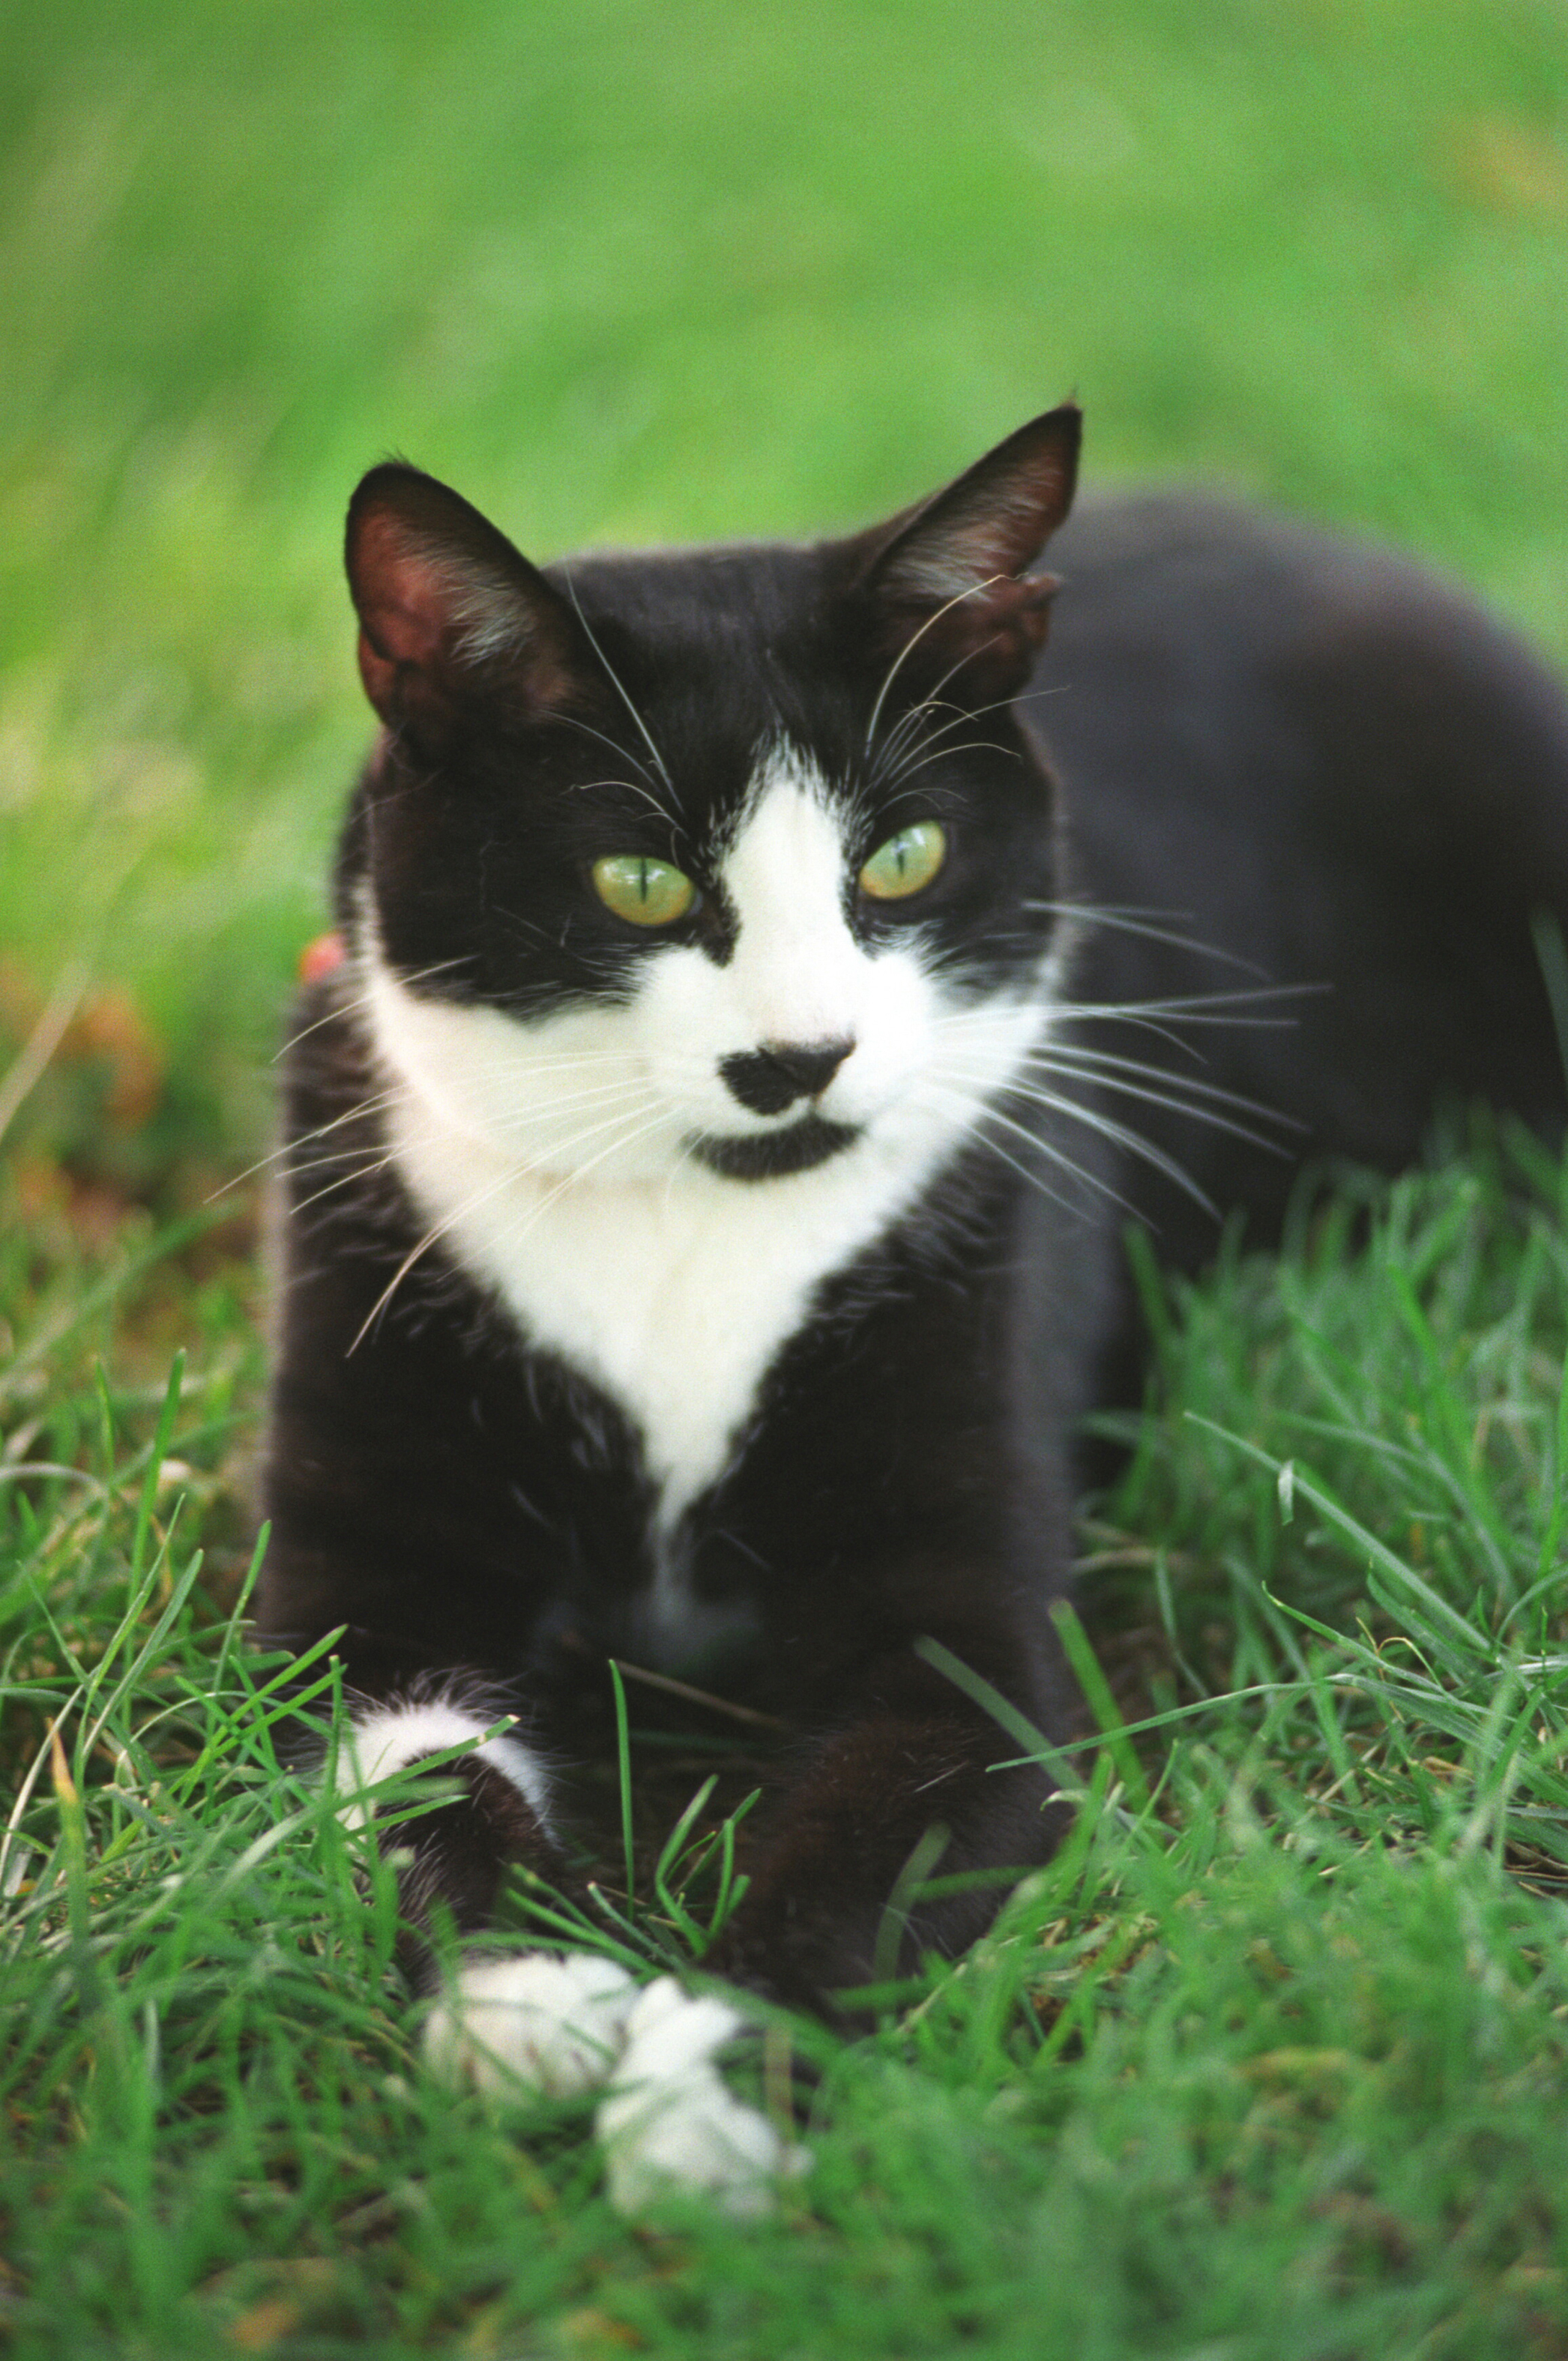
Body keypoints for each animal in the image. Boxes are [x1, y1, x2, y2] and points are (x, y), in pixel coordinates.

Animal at [253, 401, 1568, 2191]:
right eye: (638, 883)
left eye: (904, 855)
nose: (797, 1057)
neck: (696, 1226)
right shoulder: (366, 1546)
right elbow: (399, 1759)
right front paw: (528, 1994)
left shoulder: (964, 1560)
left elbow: (877, 1831)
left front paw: (712, 2087)